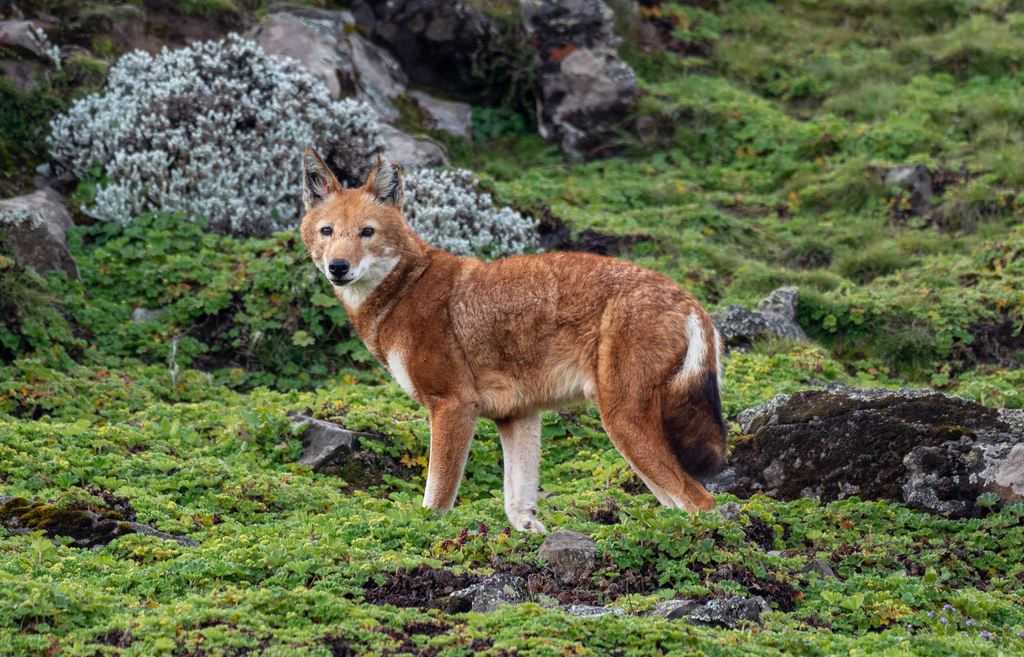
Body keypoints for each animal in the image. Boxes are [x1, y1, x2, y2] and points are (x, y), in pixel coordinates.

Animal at [300, 148, 727, 532]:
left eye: (367, 232)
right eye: (328, 232)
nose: (338, 267)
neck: (405, 289)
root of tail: (690, 301)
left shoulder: (454, 405)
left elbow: (435, 503)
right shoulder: (517, 416)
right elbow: (517, 506)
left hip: (623, 425)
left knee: (701, 501)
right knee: (680, 502)